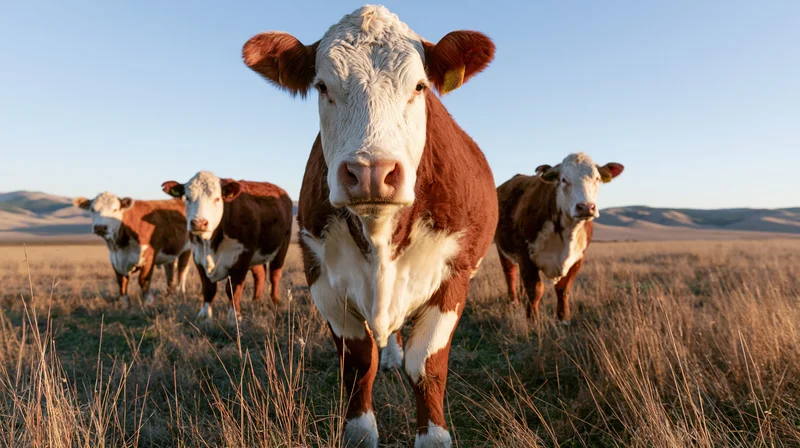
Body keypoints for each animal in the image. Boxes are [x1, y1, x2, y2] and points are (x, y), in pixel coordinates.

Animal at [161, 171, 293, 325]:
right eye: (187, 197)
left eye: (217, 198)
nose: (199, 223)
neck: (210, 244)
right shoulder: (198, 256)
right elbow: (209, 288)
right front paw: (204, 316)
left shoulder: (242, 257)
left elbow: (233, 289)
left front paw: (234, 317)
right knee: (259, 274)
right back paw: (256, 301)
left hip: (283, 245)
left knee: (275, 274)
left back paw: (275, 301)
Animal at [242, 5, 497, 447]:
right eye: (322, 86)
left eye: (419, 86)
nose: (371, 172)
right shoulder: (319, 274)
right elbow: (359, 361)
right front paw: (360, 431)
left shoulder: (455, 275)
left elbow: (426, 364)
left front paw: (432, 435)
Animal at [494, 153, 624, 323]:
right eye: (563, 179)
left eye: (597, 178)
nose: (586, 207)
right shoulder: (526, 255)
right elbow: (535, 290)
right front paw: (533, 320)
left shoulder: (579, 257)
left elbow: (563, 288)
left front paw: (563, 318)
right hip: (502, 248)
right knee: (510, 273)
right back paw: (513, 303)